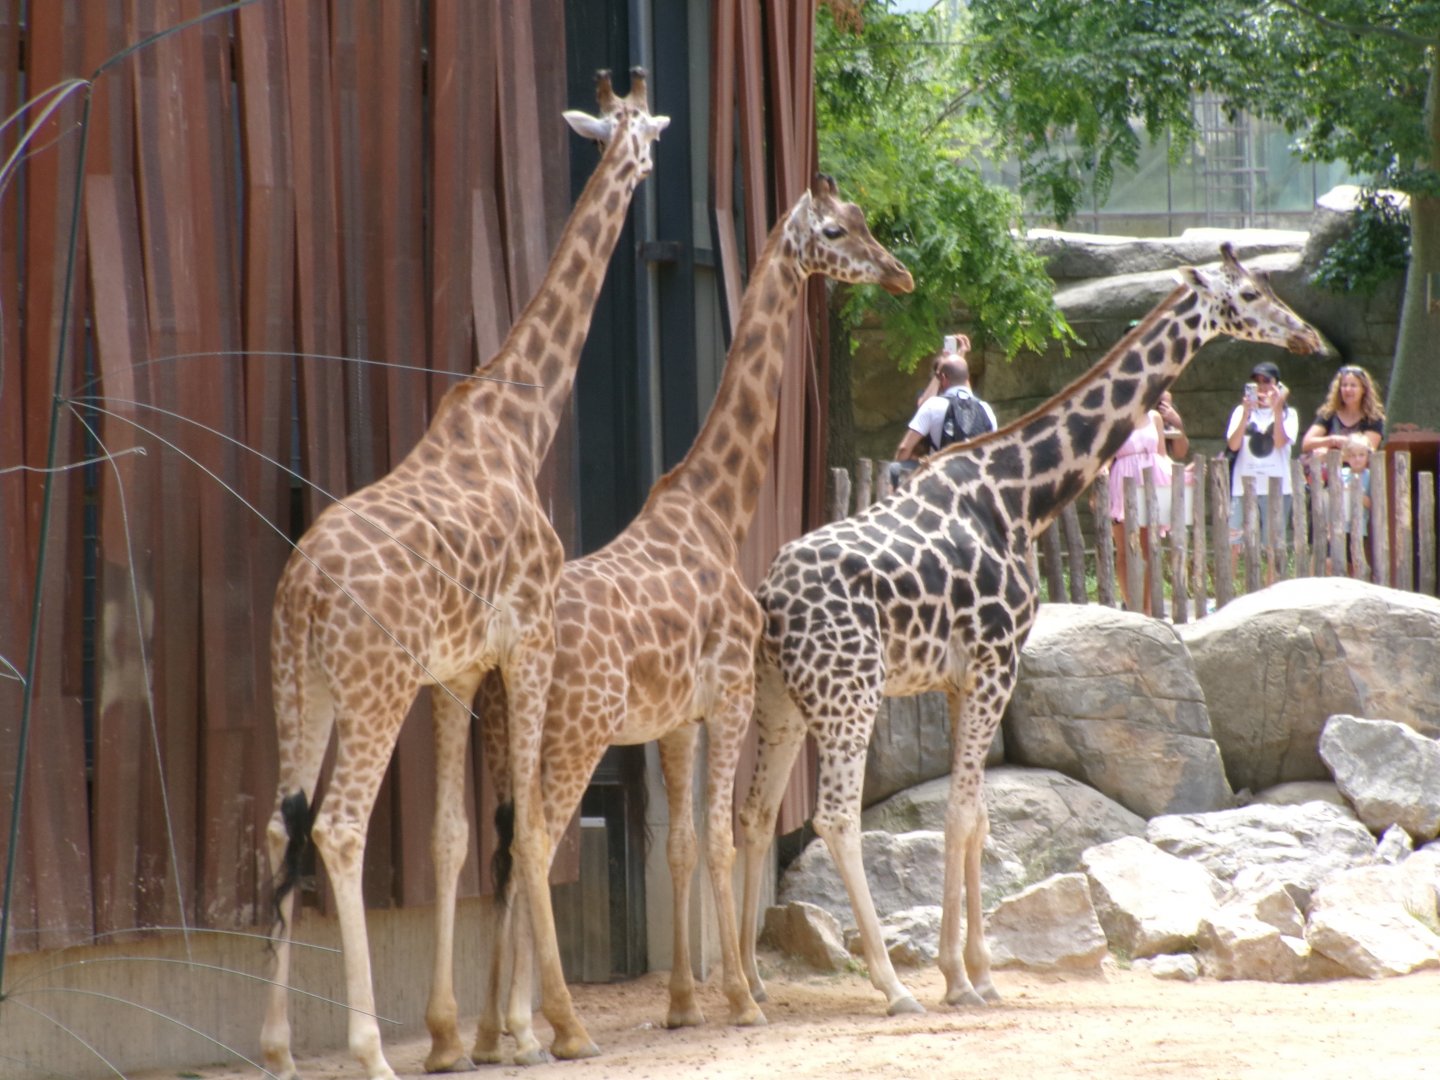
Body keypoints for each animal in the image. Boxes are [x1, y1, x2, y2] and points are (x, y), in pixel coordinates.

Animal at [259, 70, 668, 1080]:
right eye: (641, 136)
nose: (648, 166)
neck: (522, 424)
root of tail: (302, 593)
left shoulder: (456, 672)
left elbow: (454, 837)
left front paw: (454, 1033)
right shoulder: (528, 641)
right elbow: (530, 825)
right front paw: (550, 1027)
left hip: (299, 684)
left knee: (281, 825)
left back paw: (277, 1045)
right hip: (372, 688)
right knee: (337, 827)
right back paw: (367, 1047)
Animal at [462, 174, 913, 1063]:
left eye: (866, 222)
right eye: (838, 231)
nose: (900, 275)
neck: (715, 512)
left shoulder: (674, 721)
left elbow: (677, 842)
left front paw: (680, 1002)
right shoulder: (730, 697)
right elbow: (722, 835)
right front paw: (739, 998)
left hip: (502, 738)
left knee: (502, 851)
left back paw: (494, 1033)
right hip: (574, 734)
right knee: (536, 842)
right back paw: (548, 1026)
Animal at [736, 244, 1321, 1016]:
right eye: (1251, 293)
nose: (1307, 338)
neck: (1020, 496)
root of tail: (770, 600)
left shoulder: (960, 680)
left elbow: (977, 815)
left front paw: (973, 973)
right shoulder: (995, 662)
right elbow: (961, 814)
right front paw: (962, 979)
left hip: (782, 699)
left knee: (752, 812)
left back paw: (746, 984)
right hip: (848, 693)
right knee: (834, 817)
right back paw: (892, 988)